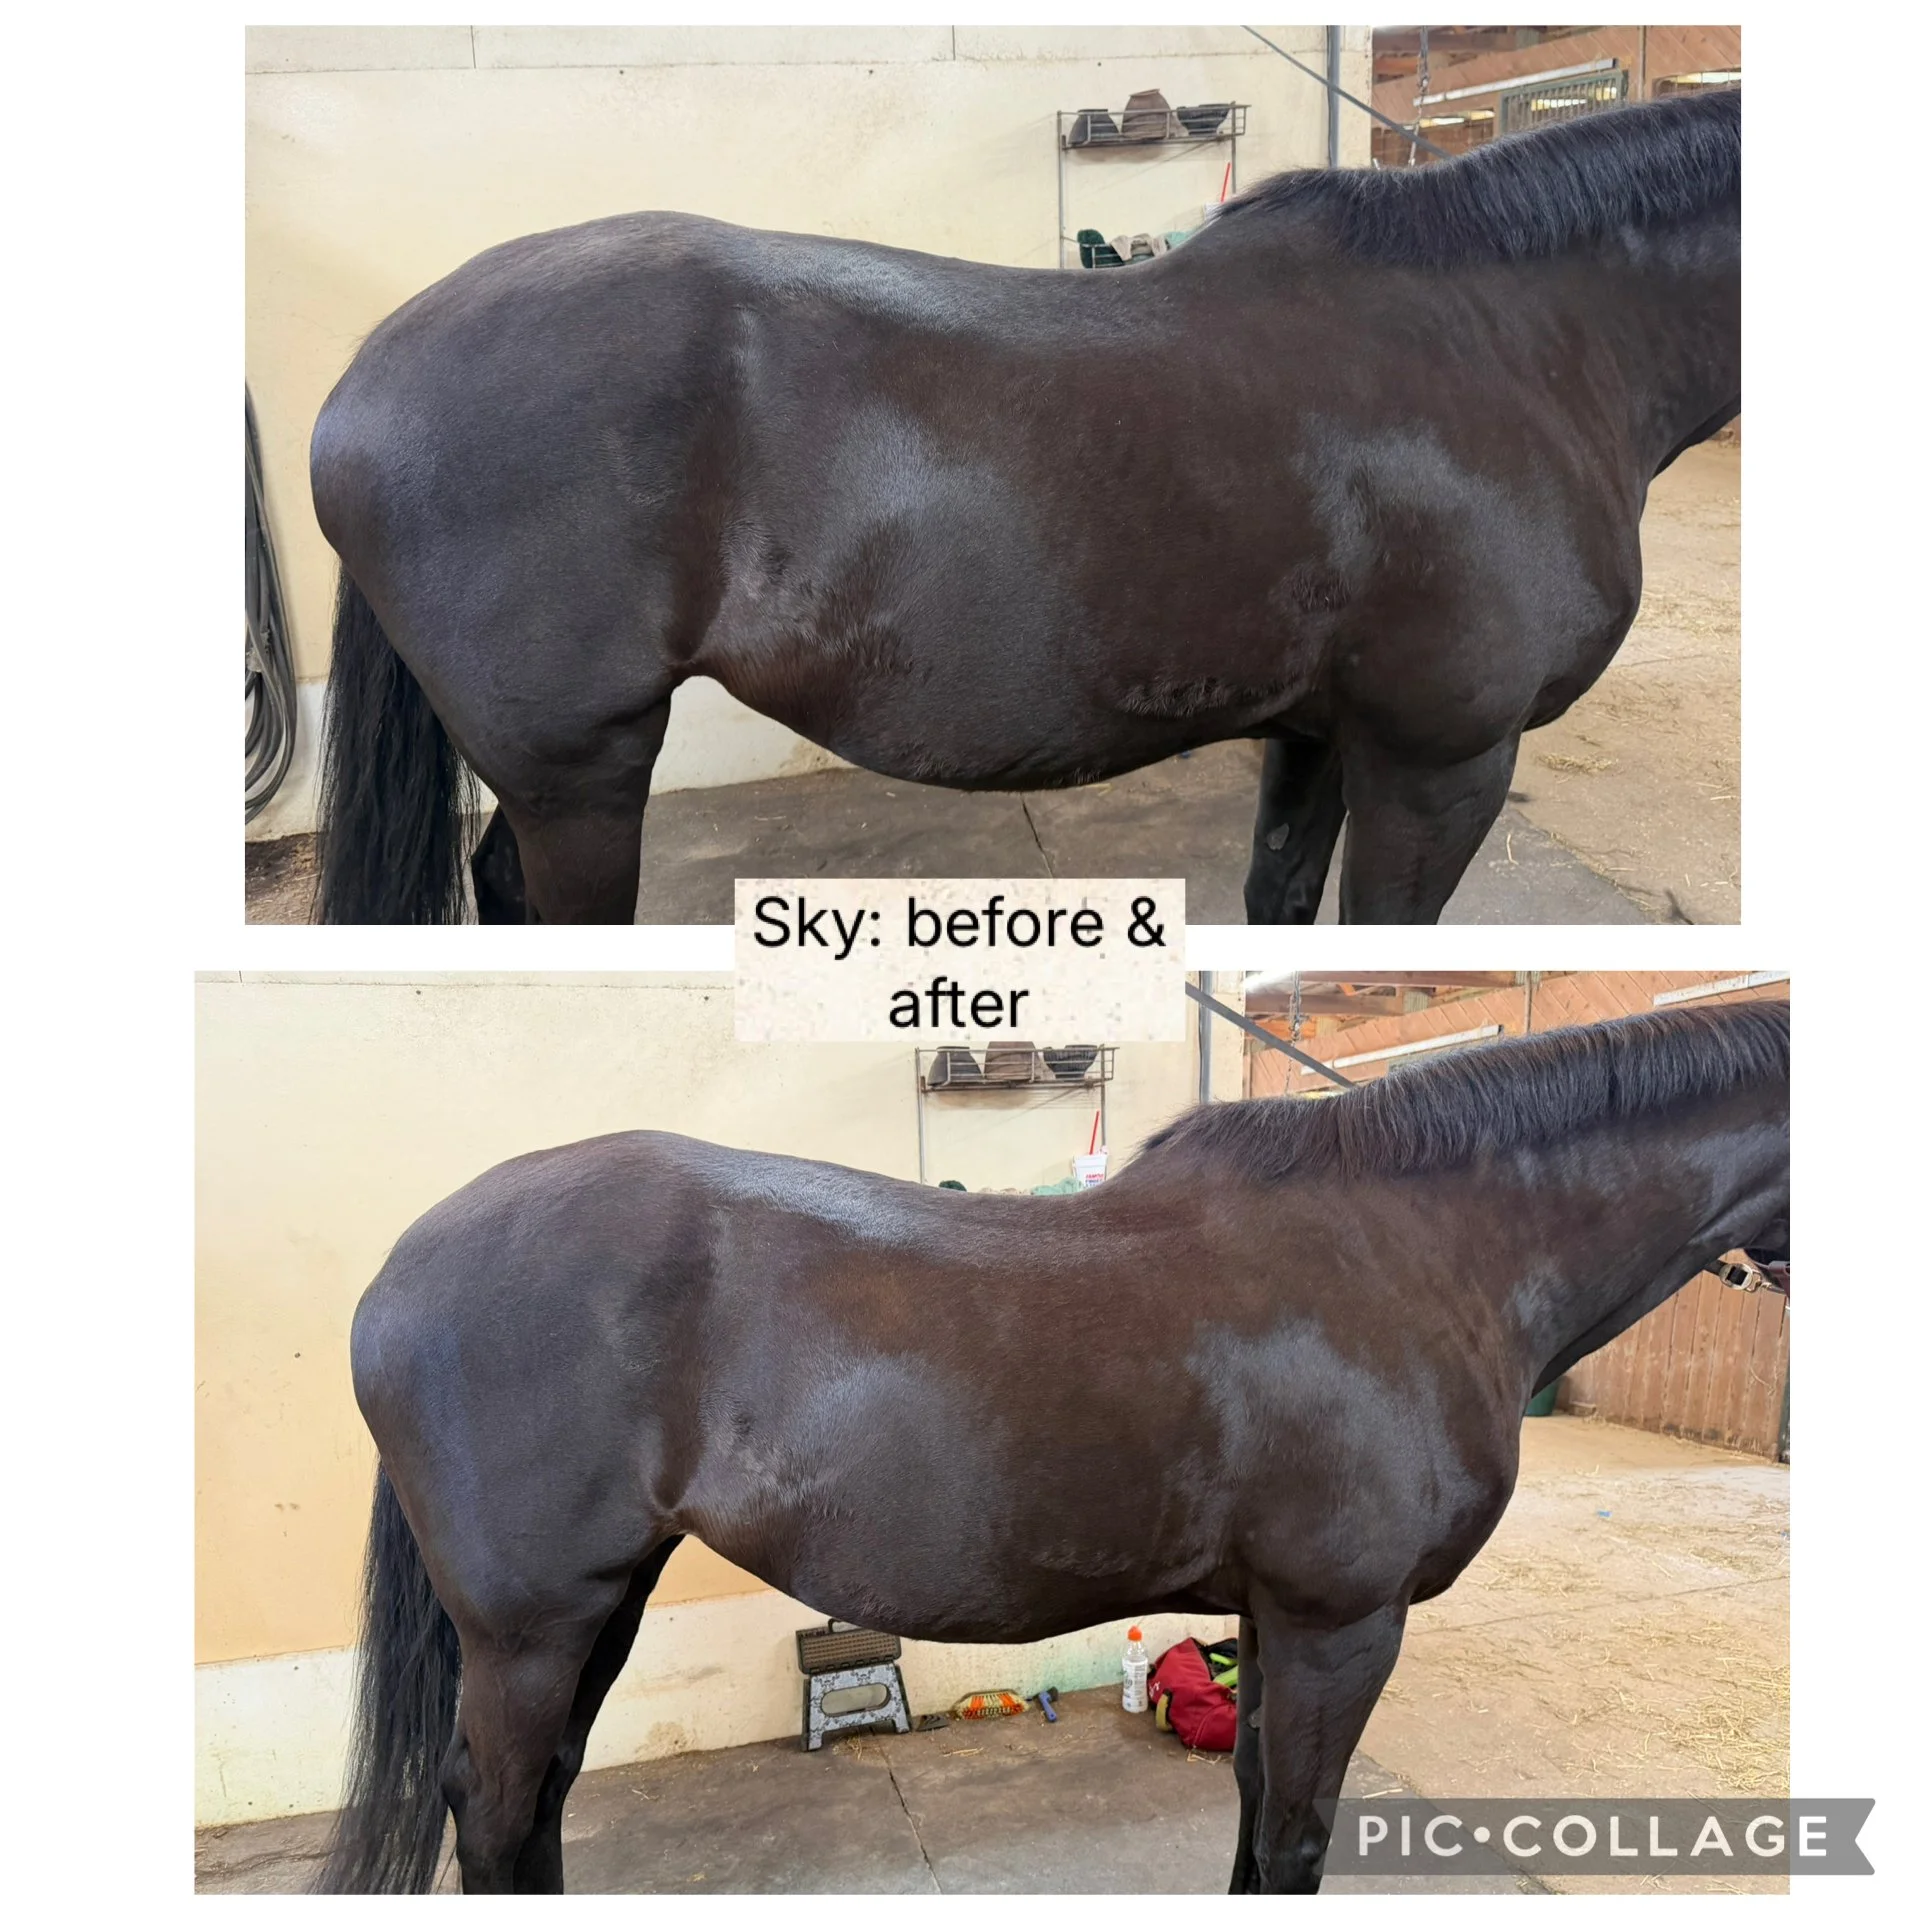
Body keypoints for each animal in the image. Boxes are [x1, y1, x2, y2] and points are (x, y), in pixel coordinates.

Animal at [314, 999, 1788, 1893]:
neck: (1426, 1249)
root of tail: (400, 1266)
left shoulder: (1276, 1623)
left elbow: (1254, 1810)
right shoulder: (1341, 1624)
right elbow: (1297, 1835)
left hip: (599, 1607)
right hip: (531, 1628)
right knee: (497, 1809)